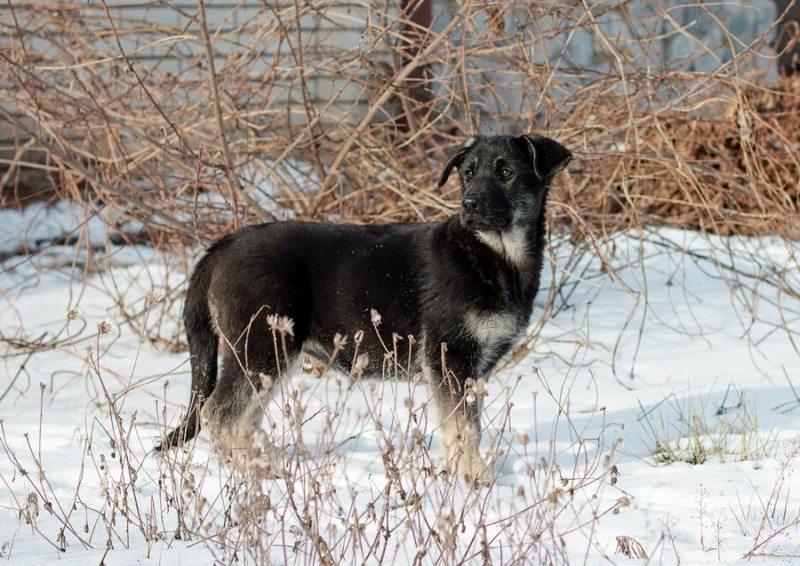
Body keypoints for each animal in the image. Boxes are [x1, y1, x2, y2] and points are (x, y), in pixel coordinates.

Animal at [158, 134, 568, 484]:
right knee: (218, 413)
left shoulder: (475, 365)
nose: (469, 204)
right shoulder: (449, 356)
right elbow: (462, 427)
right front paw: (474, 478)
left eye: (506, 173)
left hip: (268, 356)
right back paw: (255, 470)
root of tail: (222, 246)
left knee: (242, 417)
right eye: (468, 174)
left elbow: (470, 425)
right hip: (261, 348)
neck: (493, 255)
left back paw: (265, 462)